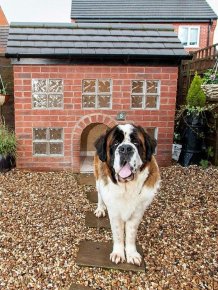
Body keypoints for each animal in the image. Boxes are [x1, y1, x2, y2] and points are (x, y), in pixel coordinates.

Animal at [93, 123, 160, 266]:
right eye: (115, 143)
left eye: (135, 142)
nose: (125, 149)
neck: (127, 187)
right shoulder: (114, 211)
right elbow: (118, 234)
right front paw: (118, 253)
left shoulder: (137, 212)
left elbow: (130, 234)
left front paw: (131, 254)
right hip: (98, 179)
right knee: (100, 194)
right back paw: (100, 209)